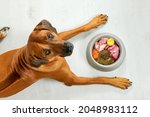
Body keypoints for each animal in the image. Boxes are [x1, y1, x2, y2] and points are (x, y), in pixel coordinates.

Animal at [0, 14, 131, 97]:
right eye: (46, 52)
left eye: (50, 36)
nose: (69, 47)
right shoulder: (72, 80)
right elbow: (99, 78)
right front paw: (118, 81)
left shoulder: (60, 36)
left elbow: (79, 29)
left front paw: (94, 22)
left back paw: (2, 33)